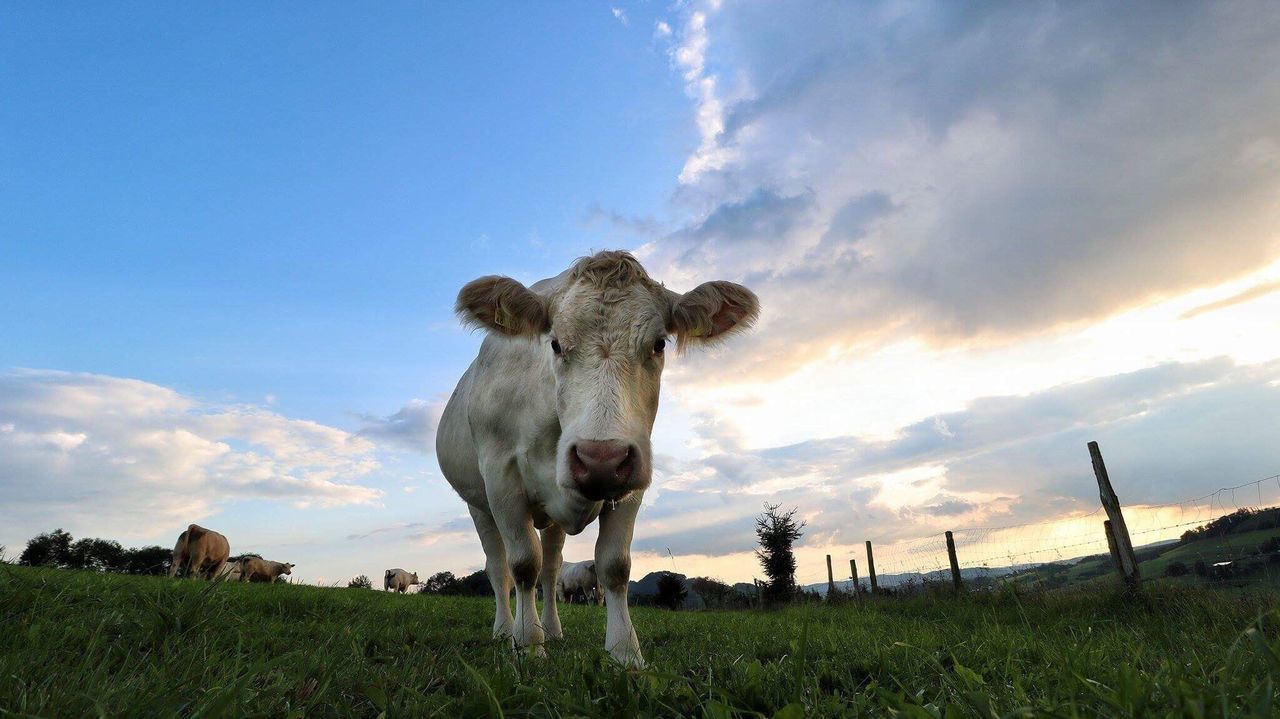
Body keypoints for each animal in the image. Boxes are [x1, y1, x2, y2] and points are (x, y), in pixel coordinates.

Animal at [440, 249, 757, 665]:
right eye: (556, 344)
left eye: (659, 344)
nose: (599, 458)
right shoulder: (500, 478)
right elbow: (522, 564)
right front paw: (528, 645)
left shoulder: (631, 478)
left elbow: (614, 566)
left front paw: (625, 652)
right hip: (478, 505)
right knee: (499, 569)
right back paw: (505, 629)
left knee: (552, 567)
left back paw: (553, 629)